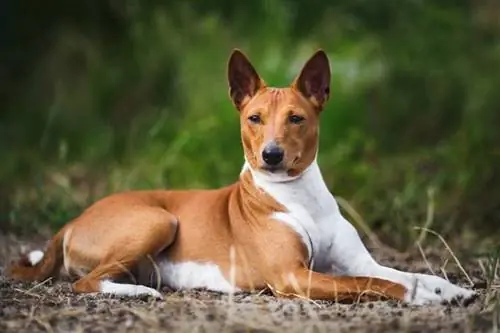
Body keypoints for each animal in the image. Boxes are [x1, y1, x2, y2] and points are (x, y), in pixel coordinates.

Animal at [6, 48, 476, 304]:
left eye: (296, 118)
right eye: (254, 118)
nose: (271, 155)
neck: (299, 198)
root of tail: (76, 218)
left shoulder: (358, 260)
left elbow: (402, 273)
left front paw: (448, 289)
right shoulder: (293, 276)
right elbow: (373, 283)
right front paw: (421, 298)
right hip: (158, 219)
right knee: (86, 282)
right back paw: (141, 294)